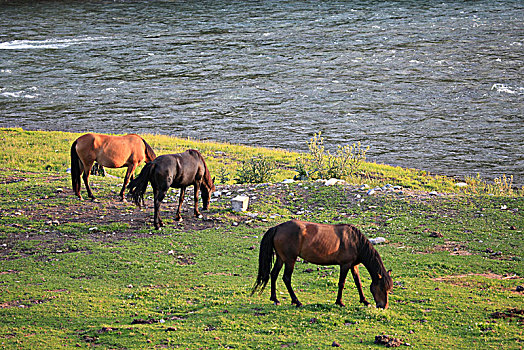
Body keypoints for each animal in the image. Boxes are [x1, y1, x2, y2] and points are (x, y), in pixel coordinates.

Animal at [252, 220, 390, 308]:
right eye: (382, 288)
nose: (383, 306)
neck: (355, 241)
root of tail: (277, 228)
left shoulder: (353, 265)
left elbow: (358, 283)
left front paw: (365, 301)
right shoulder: (345, 265)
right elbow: (341, 283)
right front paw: (339, 302)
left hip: (281, 258)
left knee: (274, 274)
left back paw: (275, 299)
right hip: (290, 260)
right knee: (286, 278)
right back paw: (297, 301)